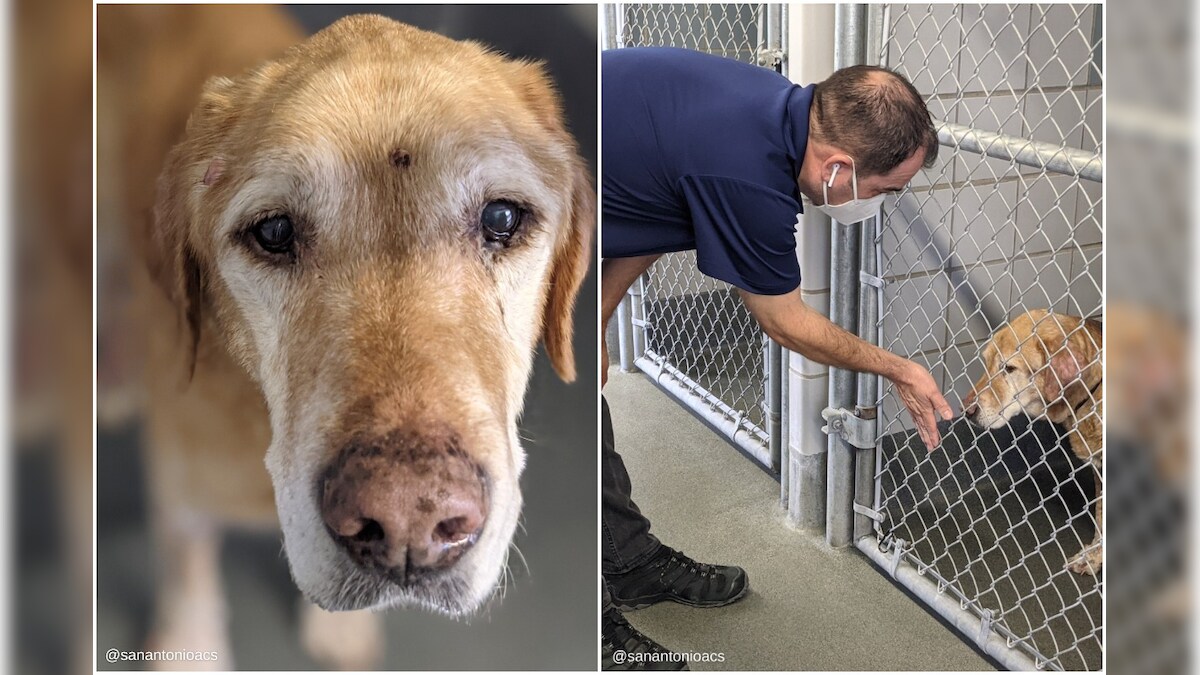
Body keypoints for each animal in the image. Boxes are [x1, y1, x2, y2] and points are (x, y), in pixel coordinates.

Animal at [97, 9, 590, 667]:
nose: (408, 517)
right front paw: (188, 648)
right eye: (274, 232)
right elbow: (187, 571)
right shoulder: (180, 484)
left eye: (502, 218)